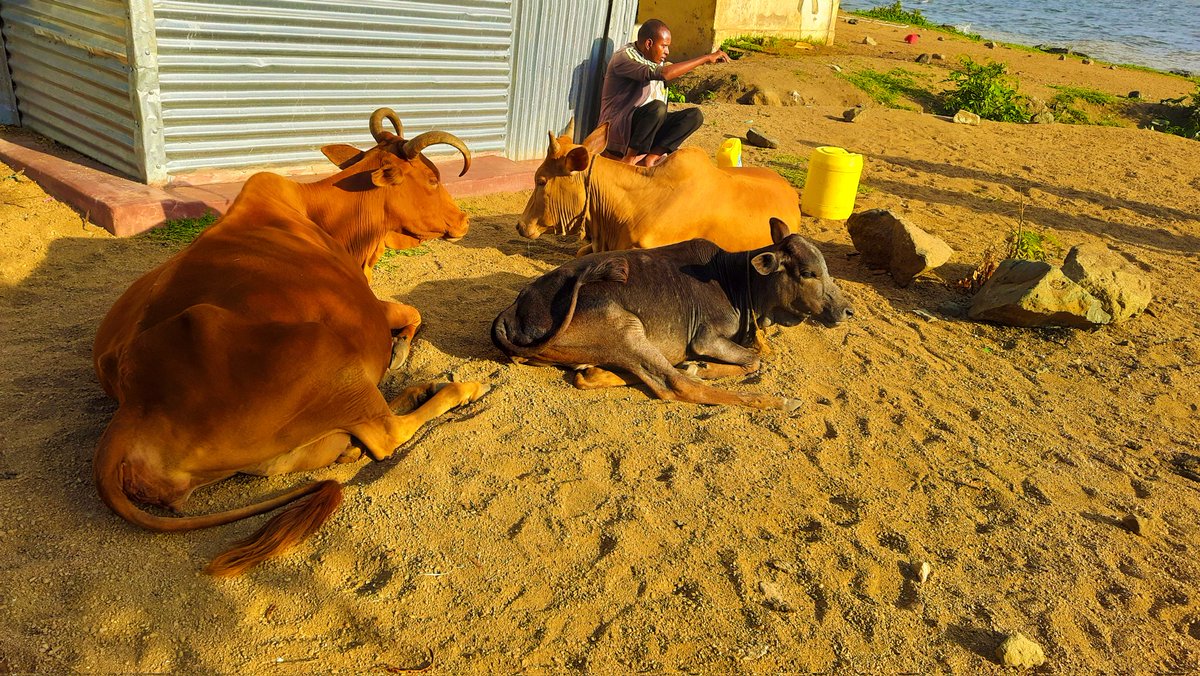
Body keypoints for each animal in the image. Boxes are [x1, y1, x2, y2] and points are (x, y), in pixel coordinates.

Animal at [92, 108, 488, 577]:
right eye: (431, 179)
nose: (463, 220)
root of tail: (132, 404)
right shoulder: (371, 313)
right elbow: (412, 313)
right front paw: (401, 353)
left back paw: (412, 395)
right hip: (327, 351)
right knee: (386, 432)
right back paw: (459, 389)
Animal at [492, 218, 851, 410]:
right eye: (808, 273)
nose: (846, 310)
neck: (737, 282)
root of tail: (513, 313)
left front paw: (702, 366)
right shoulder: (706, 337)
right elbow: (753, 360)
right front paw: (704, 366)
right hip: (624, 327)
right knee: (675, 385)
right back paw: (777, 402)